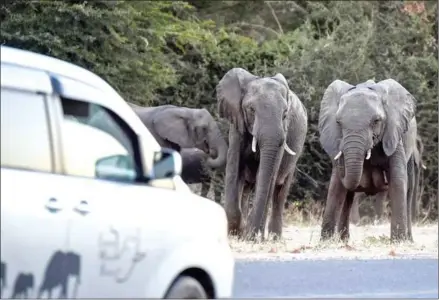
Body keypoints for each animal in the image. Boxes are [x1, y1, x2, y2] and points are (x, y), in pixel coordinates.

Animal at [217, 67, 308, 240]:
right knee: (246, 187)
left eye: (285, 114)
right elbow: (234, 168)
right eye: (251, 110)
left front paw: (251, 236)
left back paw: (272, 238)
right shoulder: (237, 125)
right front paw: (236, 232)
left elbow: (267, 177)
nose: (253, 235)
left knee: (279, 192)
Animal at [318, 79, 418, 241]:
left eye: (376, 121)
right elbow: (336, 187)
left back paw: (409, 240)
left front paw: (398, 241)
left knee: (408, 190)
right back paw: (343, 240)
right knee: (348, 197)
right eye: (338, 122)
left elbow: (397, 180)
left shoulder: (393, 135)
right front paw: (325, 242)